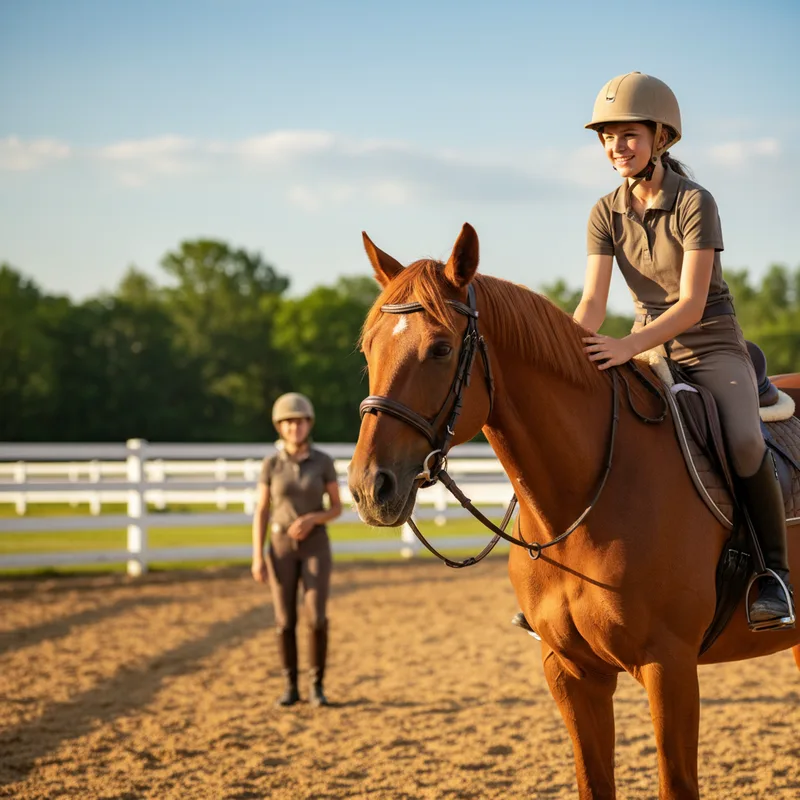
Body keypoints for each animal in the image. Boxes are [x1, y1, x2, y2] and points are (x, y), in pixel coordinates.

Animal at [347, 223, 800, 799]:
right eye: (368, 349)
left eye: (441, 349)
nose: (368, 486)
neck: (580, 507)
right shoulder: (570, 671)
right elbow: (593, 780)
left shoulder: (670, 668)